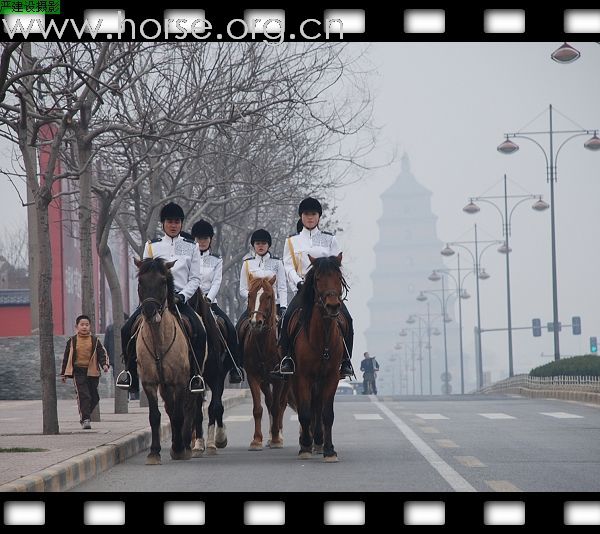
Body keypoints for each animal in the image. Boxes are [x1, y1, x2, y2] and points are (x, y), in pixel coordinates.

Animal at [134, 258, 197, 464]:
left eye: (163, 282)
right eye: (140, 282)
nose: (149, 311)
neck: (158, 343)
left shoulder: (180, 382)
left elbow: (178, 415)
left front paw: (178, 448)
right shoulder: (150, 382)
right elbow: (155, 416)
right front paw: (154, 452)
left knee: (189, 408)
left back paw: (186, 445)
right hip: (165, 386)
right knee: (170, 408)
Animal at [237, 276, 286, 452]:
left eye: (269, 296)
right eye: (249, 295)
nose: (256, 322)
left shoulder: (279, 379)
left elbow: (277, 407)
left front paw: (277, 439)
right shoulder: (253, 377)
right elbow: (258, 408)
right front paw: (257, 440)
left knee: (281, 404)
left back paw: (278, 435)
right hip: (265, 381)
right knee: (270, 402)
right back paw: (271, 435)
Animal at [288, 253, 350, 462]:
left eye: (338, 277)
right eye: (317, 278)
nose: (332, 306)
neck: (322, 338)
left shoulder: (331, 377)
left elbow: (327, 414)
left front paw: (329, 450)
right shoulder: (302, 377)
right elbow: (305, 413)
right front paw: (305, 447)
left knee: (317, 407)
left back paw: (319, 440)